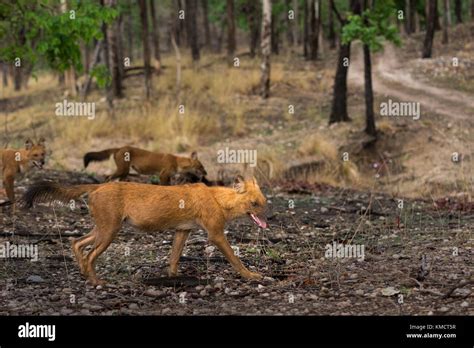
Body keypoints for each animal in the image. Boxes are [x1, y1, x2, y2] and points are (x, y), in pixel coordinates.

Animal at [23, 175, 266, 286]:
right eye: (254, 204)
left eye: (264, 203)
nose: (266, 220)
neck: (219, 200)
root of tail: (100, 184)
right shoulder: (215, 234)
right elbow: (235, 259)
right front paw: (251, 275)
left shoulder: (182, 231)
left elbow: (174, 258)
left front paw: (174, 278)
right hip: (110, 230)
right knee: (90, 254)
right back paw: (97, 282)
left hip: (102, 228)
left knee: (77, 243)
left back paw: (84, 274)